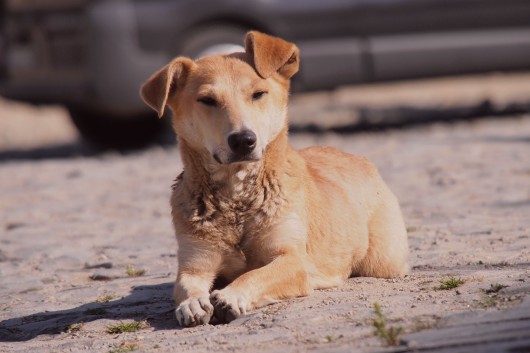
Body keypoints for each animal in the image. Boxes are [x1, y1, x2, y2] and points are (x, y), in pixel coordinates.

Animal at [138, 31, 406, 326]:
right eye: (207, 100)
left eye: (259, 94)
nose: (243, 140)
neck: (237, 199)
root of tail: (356, 157)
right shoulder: (195, 263)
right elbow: (186, 285)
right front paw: (192, 302)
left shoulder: (292, 260)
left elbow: (254, 274)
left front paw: (232, 295)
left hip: (383, 260)